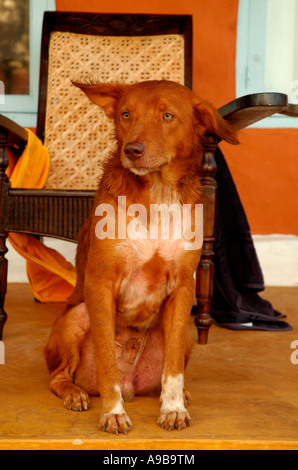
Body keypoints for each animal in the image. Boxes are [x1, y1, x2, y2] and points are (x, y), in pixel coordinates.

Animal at [43, 80, 237, 434]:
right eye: (125, 114)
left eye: (167, 116)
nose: (132, 150)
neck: (157, 194)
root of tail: (132, 384)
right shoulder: (100, 284)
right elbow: (107, 361)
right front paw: (113, 413)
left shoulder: (183, 287)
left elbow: (173, 368)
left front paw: (173, 407)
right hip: (75, 317)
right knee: (58, 375)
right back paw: (75, 393)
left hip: (188, 337)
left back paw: (179, 395)